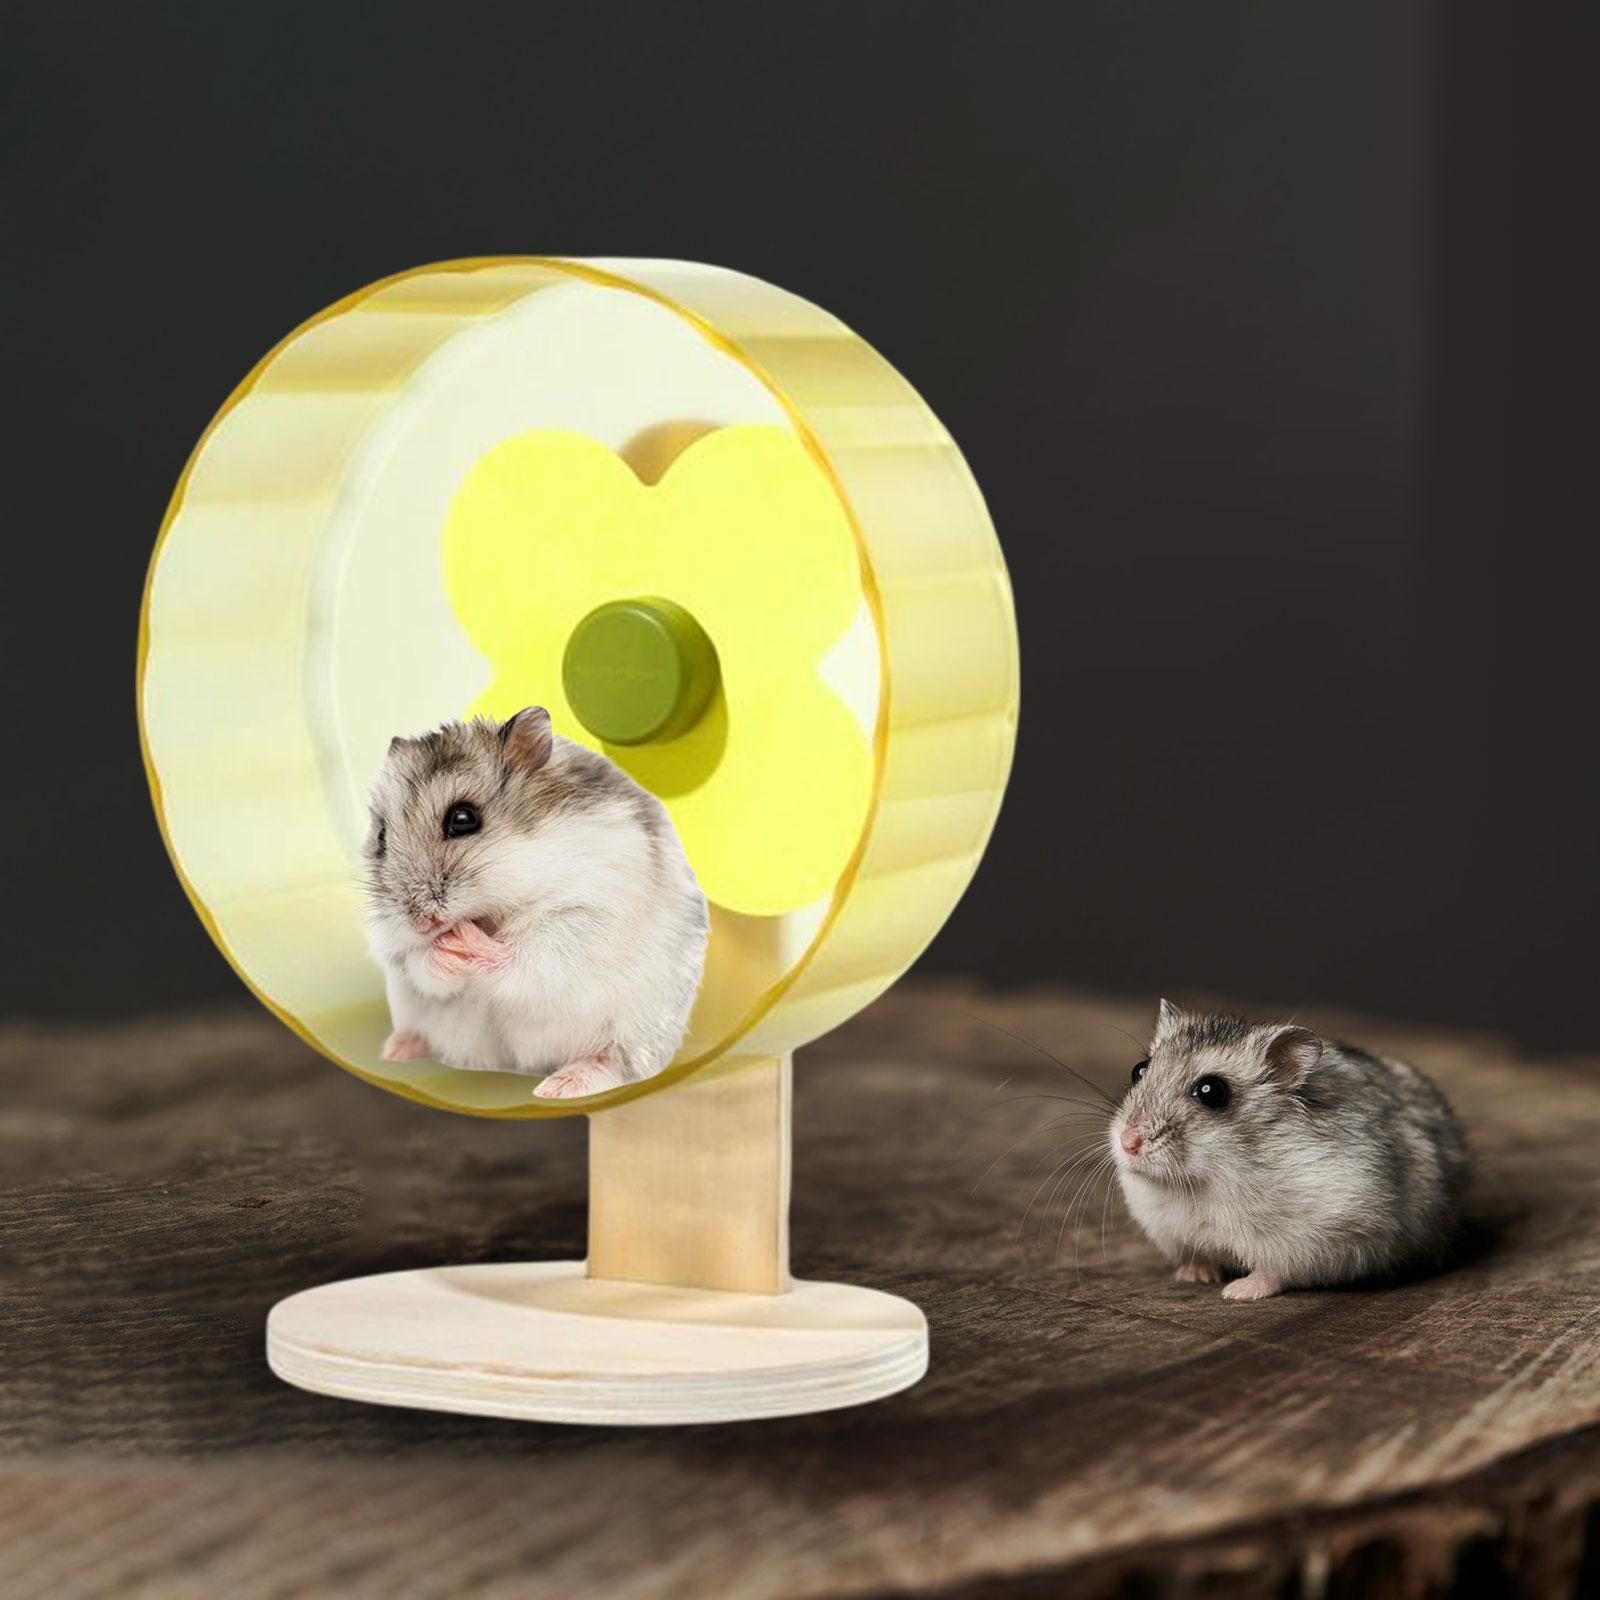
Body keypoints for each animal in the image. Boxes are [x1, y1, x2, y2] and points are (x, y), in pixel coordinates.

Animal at [362, 707, 709, 1099]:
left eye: (463, 818)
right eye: (381, 838)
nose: (421, 922)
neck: (497, 908)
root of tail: (522, 1067)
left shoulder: (583, 917)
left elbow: (527, 955)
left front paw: (465, 941)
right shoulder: (395, 947)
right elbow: (420, 963)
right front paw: (444, 948)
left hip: (641, 1025)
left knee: (616, 1062)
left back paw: (556, 1088)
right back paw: (398, 1049)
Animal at [1110, 1000, 1469, 1300]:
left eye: (1211, 1091)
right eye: (1139, 1070)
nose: (1129, 1142)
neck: (1208, 1177)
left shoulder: (1320, 1233)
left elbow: (1273, 1271)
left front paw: (1237, 1291)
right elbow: (1200, 1256)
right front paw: (1193, 1275)